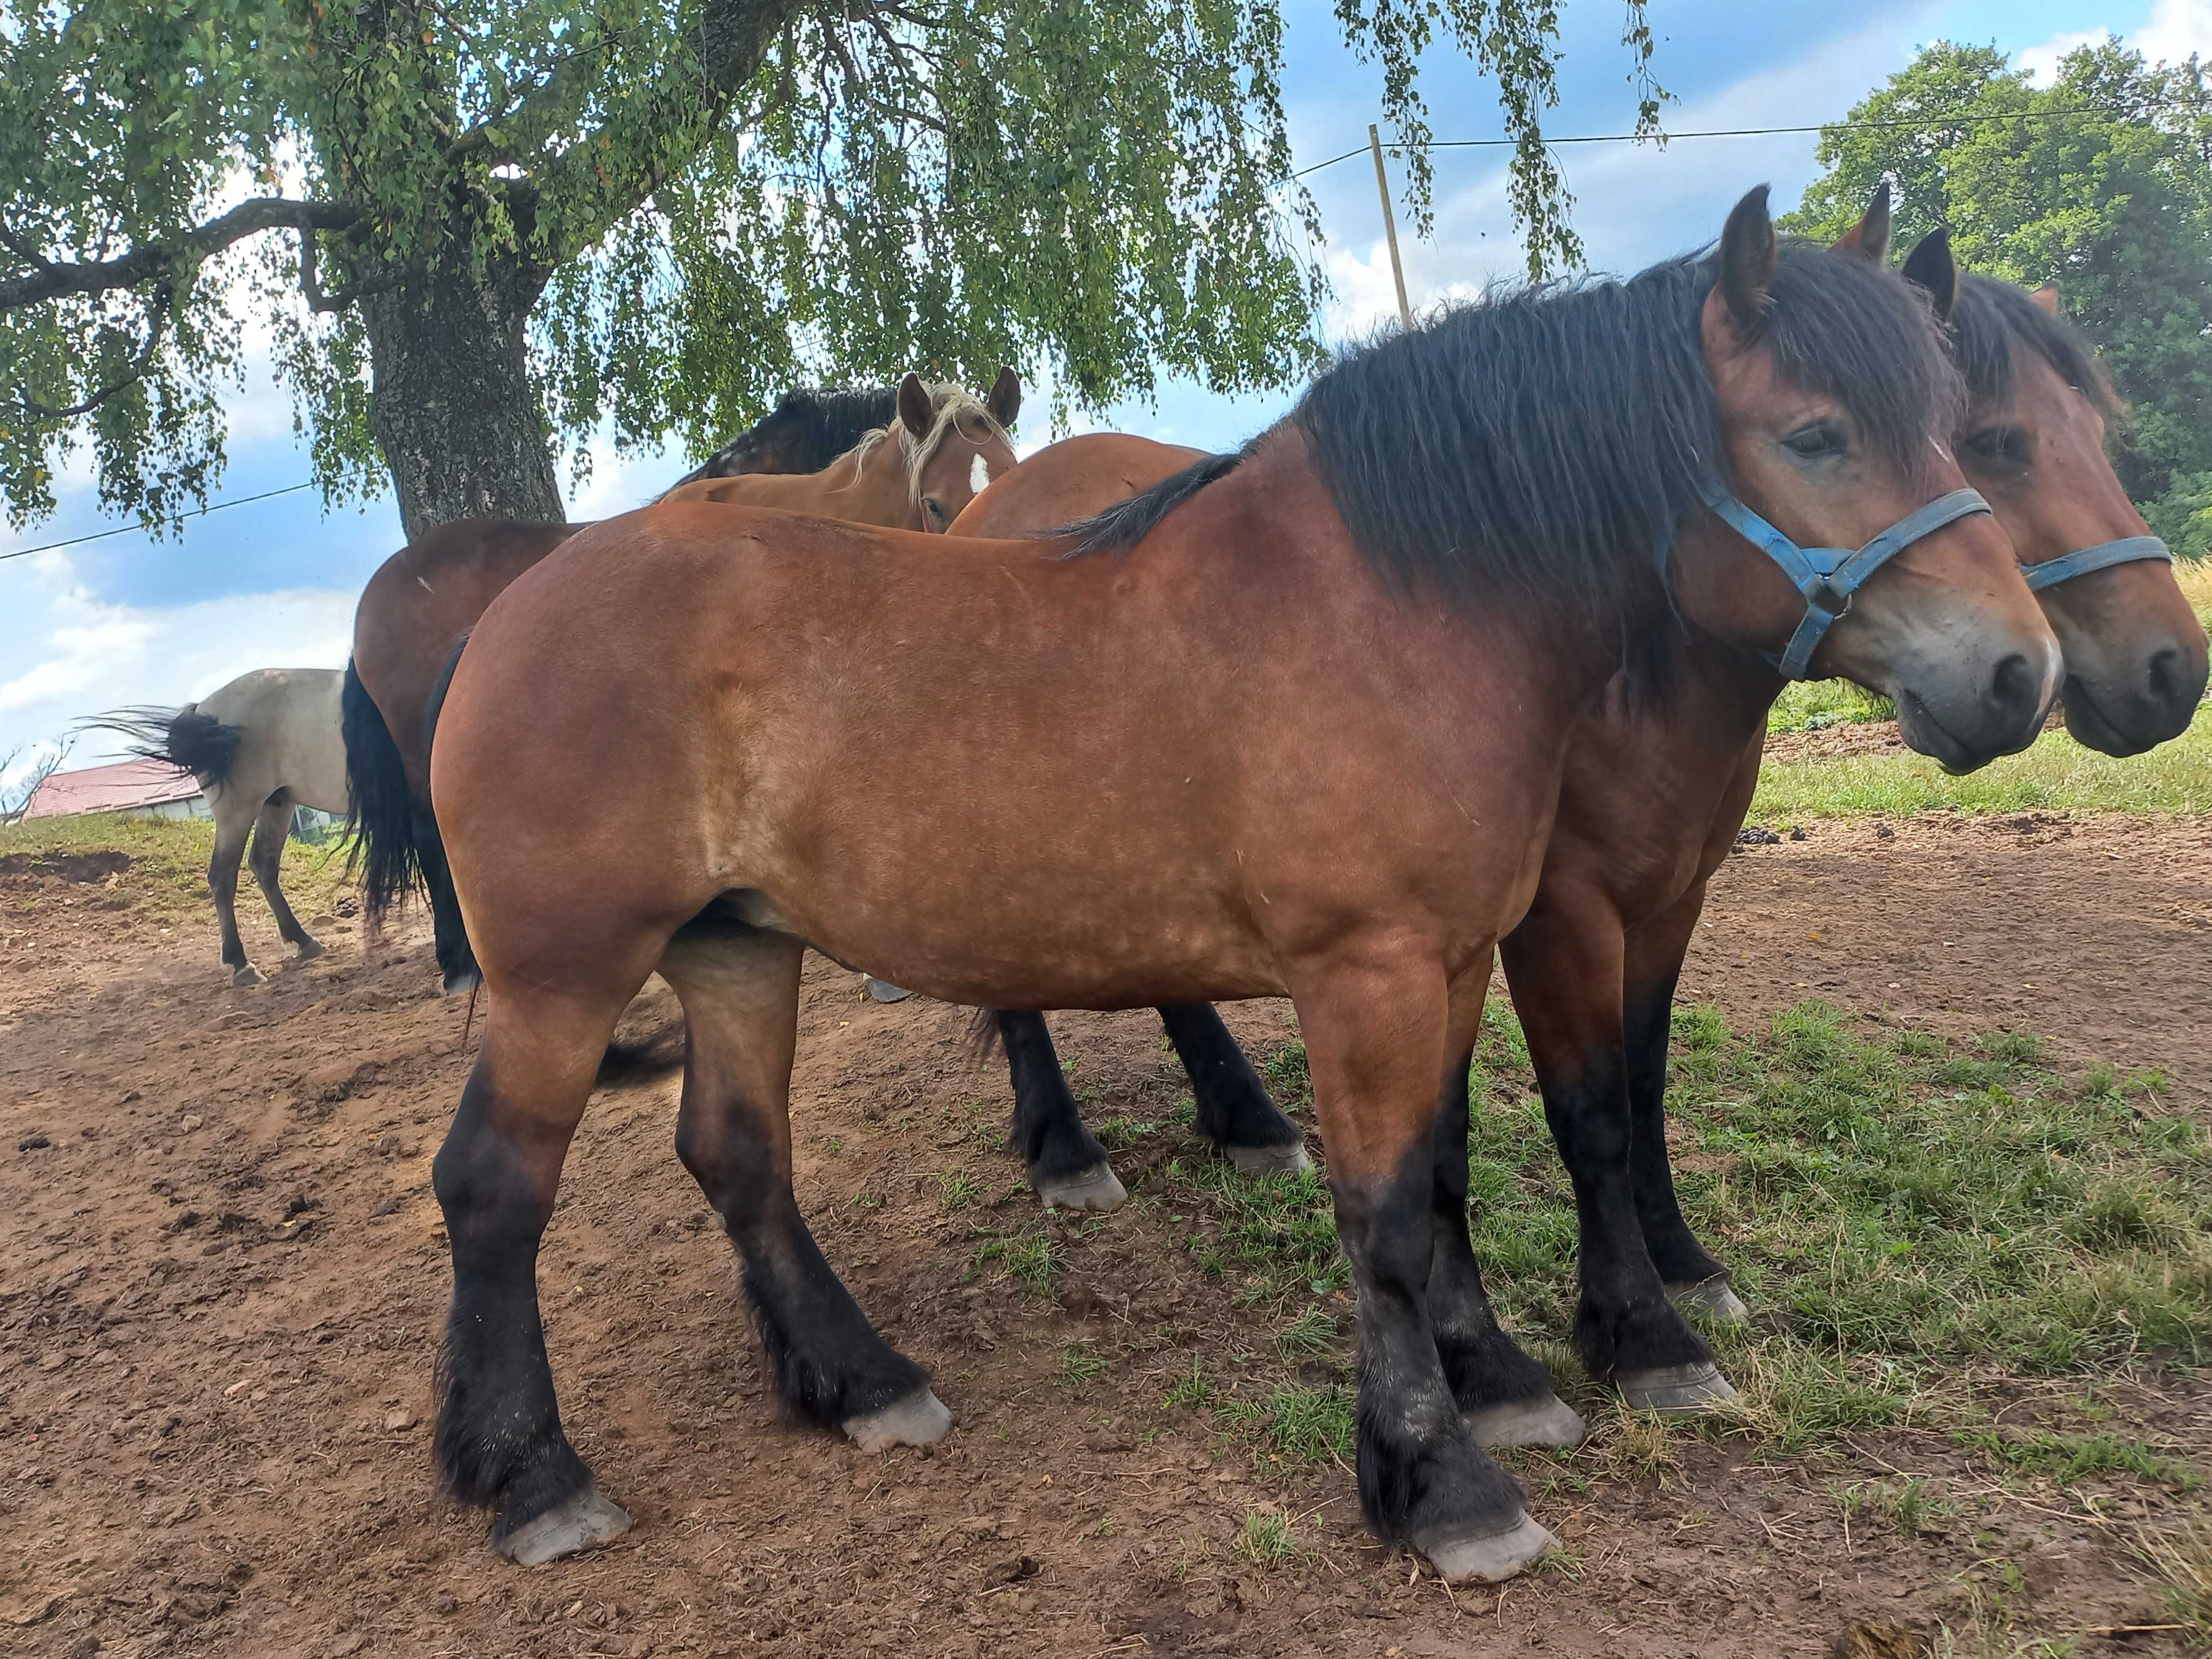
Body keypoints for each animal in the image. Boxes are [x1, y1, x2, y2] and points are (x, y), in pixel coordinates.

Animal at [90, 668, 349, 986]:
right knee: (222, 876)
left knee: (263, 864)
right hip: (237, 812)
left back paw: (302, 940)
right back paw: (240, 963)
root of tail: (203, 709)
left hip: (277, 803)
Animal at [427, 188, 2053, 1593]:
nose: (2015, 671)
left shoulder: (1454, 956)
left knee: (738, 1156)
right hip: (563, 978)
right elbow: (1384, 1212)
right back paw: (536, 1476)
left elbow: (1444, 1167)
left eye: (1954, 430)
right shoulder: (1370, 968)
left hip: (733, 950)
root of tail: (509, 616)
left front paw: (1499, 1377)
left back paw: (860, 1380)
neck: (1395, 603)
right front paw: (1443, 1482)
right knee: (495, 1189)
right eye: (1815, 433)